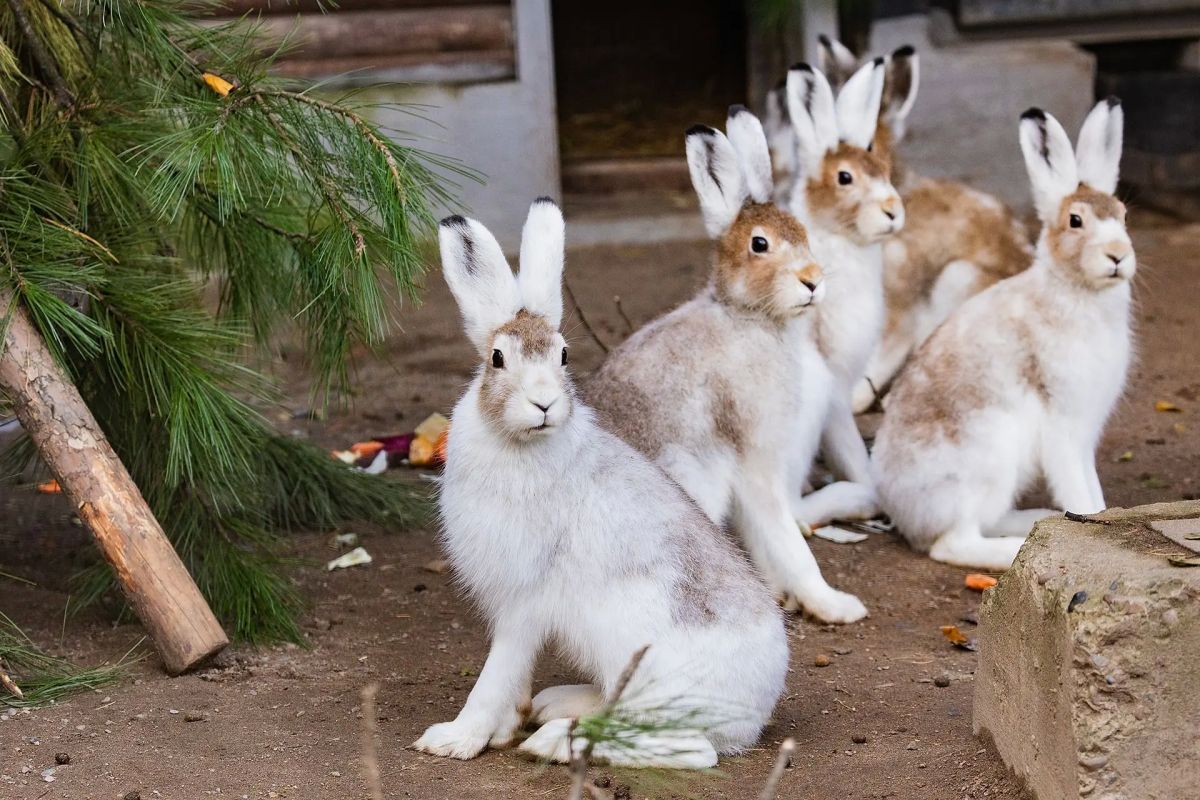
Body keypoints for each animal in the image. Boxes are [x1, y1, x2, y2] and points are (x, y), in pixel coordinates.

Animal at [412, 198, 788, 770]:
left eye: (564, 355)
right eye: (497, 359)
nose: (544, 403)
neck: (522, 446)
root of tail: (756, 710)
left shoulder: (525, 598)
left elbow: (499, 670)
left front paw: (455, 739)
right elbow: (512, 676)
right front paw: (501, 729)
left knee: (691, 750)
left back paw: (557, 740)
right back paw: (557, 705)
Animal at [587, 107, 870, 625]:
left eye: (802, 233)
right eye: (760, 245)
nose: (813, 281)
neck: (747, 318)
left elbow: (763, 538)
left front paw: (783, 594)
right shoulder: (755, 461)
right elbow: (789, 540)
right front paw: (834, 605)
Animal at [782, 59, 903, 501]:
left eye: (884, 170)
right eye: (845, 178)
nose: (893, 211)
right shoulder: (834, 387)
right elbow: (847, 443)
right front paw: (868, 483)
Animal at [871, 99, 1133, 570]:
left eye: (1123, 216)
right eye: (1076, 221)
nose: (1118, 256)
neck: (1075, 292)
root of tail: (902, 513)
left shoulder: (1086, 429)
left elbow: (1092, 489)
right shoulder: (1064, 426)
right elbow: (1078, 490)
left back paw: (1038, 521)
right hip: (989, 459)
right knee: (953, 543)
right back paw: (1012, 549)